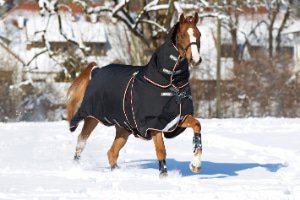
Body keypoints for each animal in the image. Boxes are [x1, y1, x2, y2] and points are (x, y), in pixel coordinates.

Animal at [67, 13, 203, 177]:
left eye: (199, 34)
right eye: (183, 35)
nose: (196, 59)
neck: (170, 83)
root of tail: (96, 70)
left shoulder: (176, 118)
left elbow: (197, 125)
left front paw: (195, 165)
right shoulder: (153, 125)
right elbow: (161, 151)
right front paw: (164, 178)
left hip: (123, 129)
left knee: (112, 153)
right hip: (91, 117)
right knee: (81, 142)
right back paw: (76, 167)